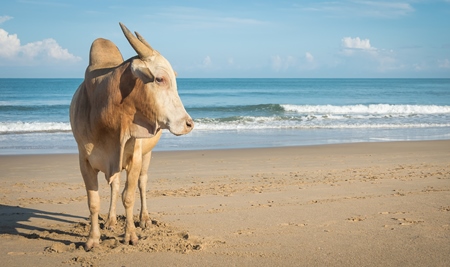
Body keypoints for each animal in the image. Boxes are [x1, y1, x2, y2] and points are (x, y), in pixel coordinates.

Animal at [69, 23, 192, 251]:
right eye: (160, 79)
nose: (189, 123)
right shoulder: (85, 160)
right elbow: (94, 201)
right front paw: (93, 239)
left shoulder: (134, 157)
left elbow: (129, 196)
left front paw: (130, 236)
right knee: (115, 186)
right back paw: (110, 220)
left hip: (147, 156)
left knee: (142, 184)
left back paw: (144, 219)